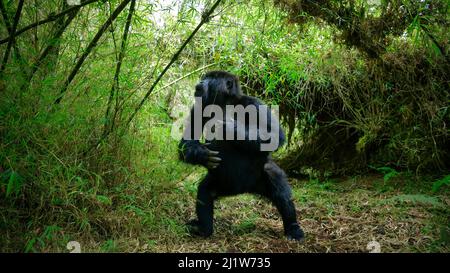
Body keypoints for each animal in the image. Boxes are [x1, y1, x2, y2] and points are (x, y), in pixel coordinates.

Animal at [178, 70, 304, 240]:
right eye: (205, 77)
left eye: (212, 78)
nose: (201, 82)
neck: (224, 103)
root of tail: (243, 190)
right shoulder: (199, 108)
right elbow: (186, 142)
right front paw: (202, 155)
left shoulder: (253, 103)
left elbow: (275, 135)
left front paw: (230, 128)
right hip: (221, 183)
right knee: (205, 191)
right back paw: (204, 229)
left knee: (279, 188)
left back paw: (293, 227)